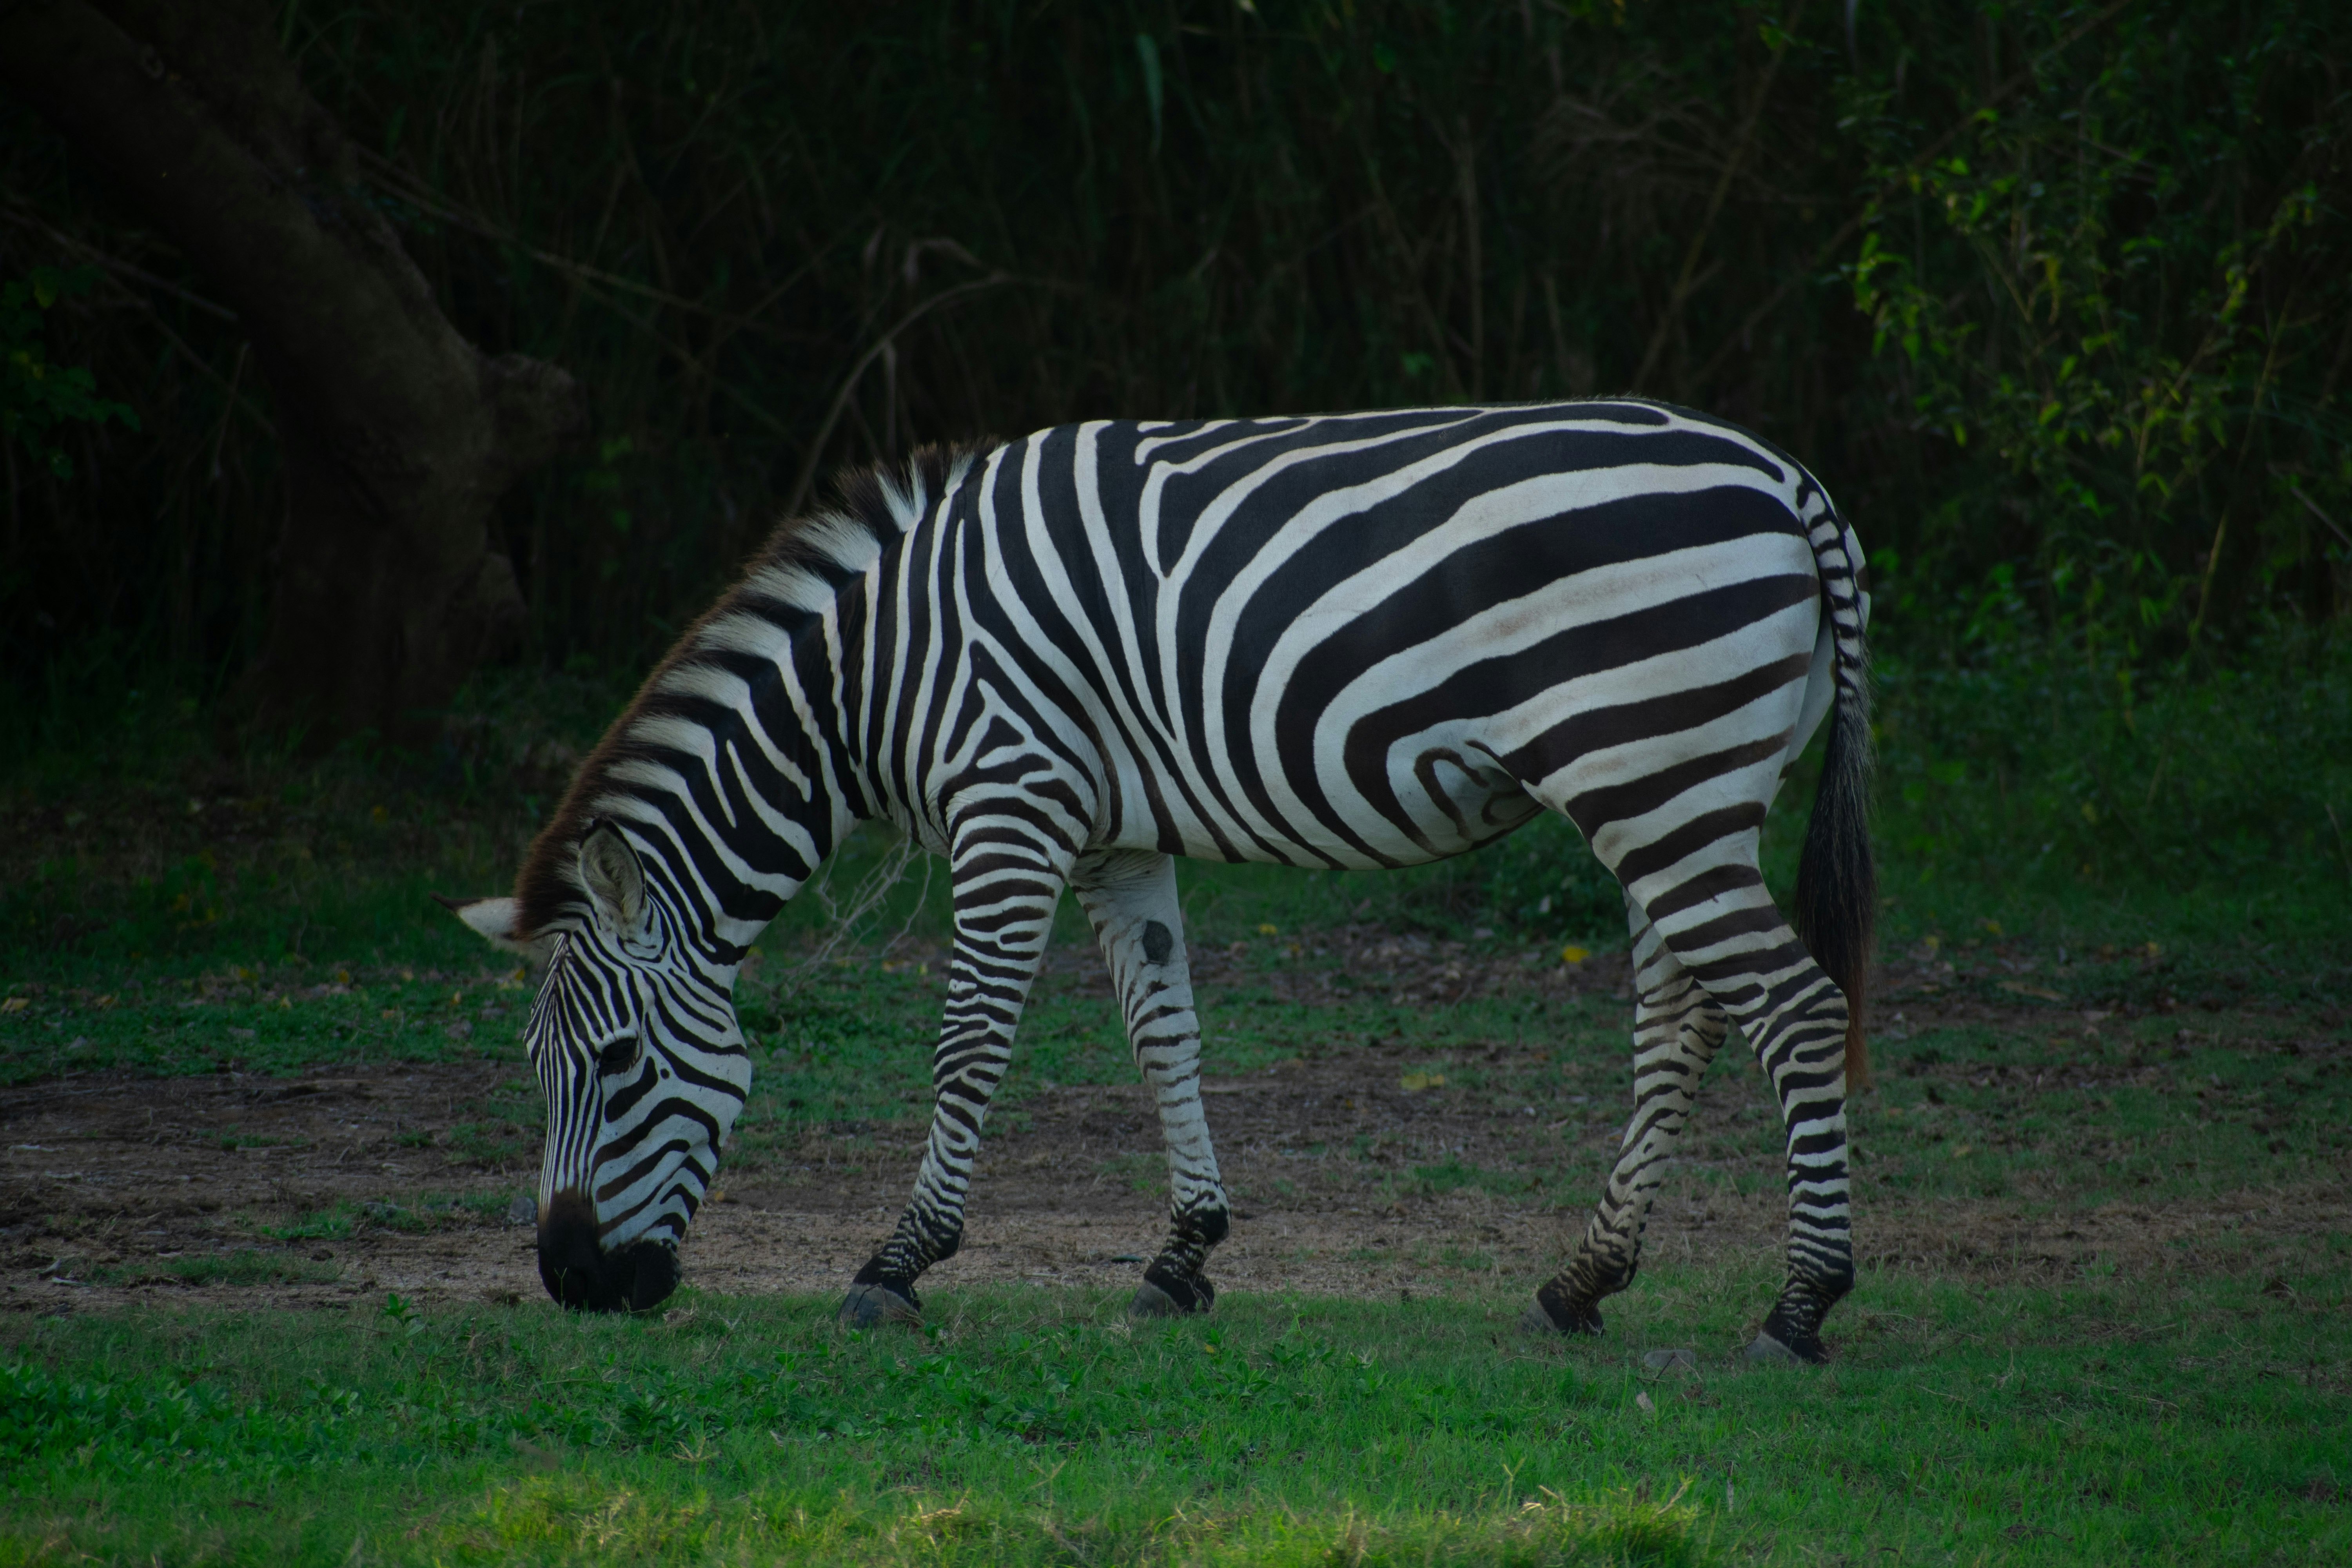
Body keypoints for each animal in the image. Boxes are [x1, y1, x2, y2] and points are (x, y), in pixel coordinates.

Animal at [446, 399, 1874, 1361]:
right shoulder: (1112, 836)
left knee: (1797, 1010)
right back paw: (1584, 1281)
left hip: (1654, 776)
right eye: (536, 1067)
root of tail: (1790, 474)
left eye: (618, 1064)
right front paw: (1183, 1257)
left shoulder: (1009, 802)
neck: (877, 670)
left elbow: (970, 1045)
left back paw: (1800, 1306)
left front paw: (898, 1265)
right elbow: (1164, 1035)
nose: (571, 1281)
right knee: (1681, 1021)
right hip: (1676, 787)